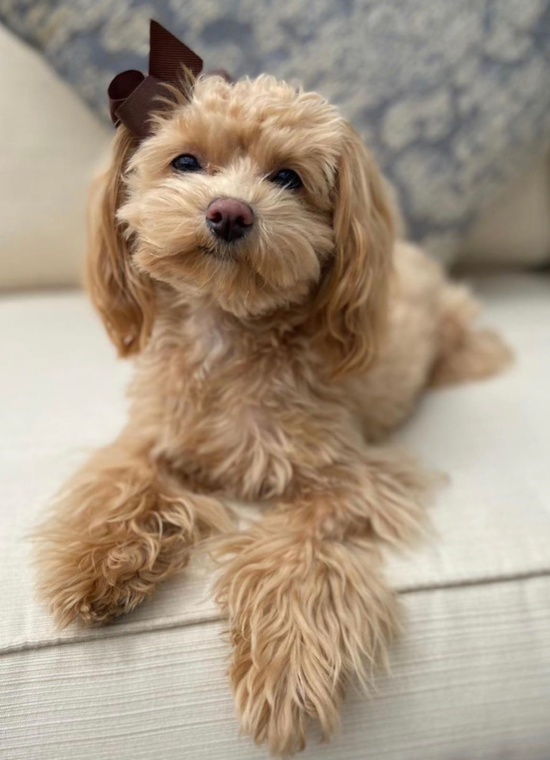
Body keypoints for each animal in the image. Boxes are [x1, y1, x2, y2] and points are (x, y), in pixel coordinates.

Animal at [34, 26, 512, 756]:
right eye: (185, 162)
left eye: (287, 177)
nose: (228, 212)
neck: (228, 334)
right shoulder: (151, 438)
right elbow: (122, 482)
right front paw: (97, 561)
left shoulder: (351, 478)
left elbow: (291, 553)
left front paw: (283, 666)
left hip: (452, 326)